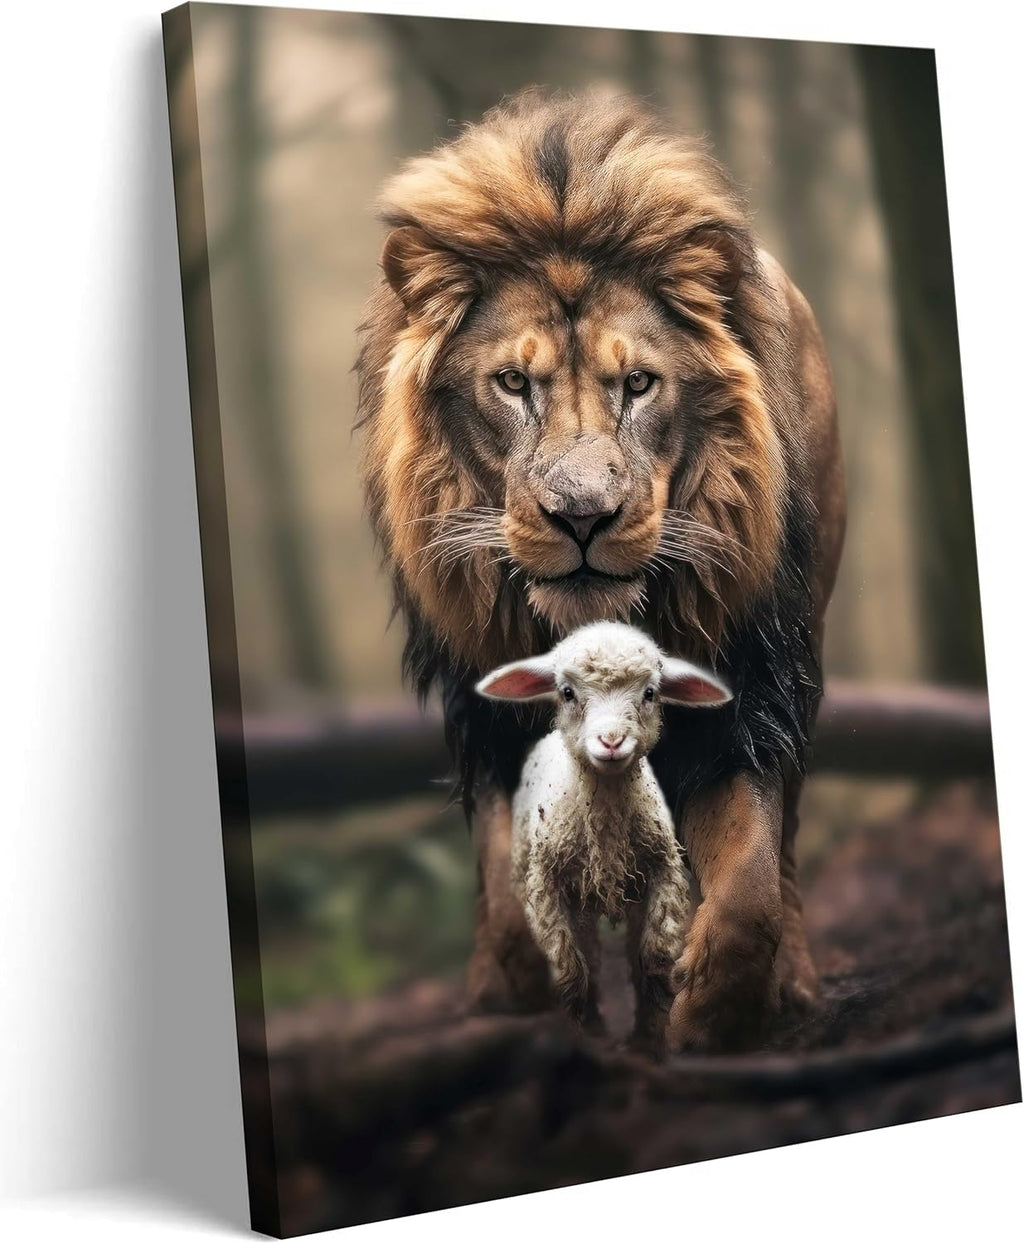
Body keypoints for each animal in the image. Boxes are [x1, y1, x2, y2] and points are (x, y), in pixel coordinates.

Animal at [476, 621, 732, 1049]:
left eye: (650, 693)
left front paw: (649, 1040)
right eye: (567, 692)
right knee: (589, 959)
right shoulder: (544, 887)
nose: (611, 742)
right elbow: (571, 972)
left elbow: (652, 962)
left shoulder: (663, 873)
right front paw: (580, 1035)